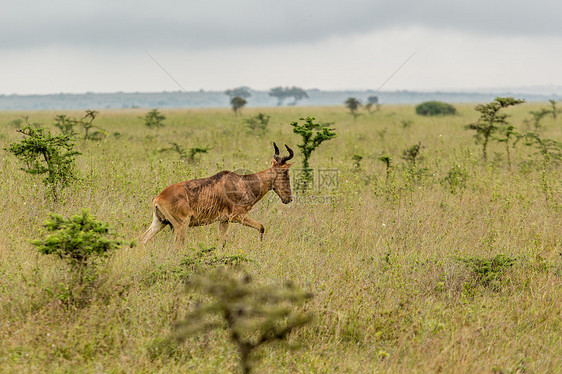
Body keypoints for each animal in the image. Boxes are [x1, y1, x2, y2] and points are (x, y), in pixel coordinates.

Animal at [139, 142, 294, 245]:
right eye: (285, 172)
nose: (289, 198)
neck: (241, 182)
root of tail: (158, 198)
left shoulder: (224, 220)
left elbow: (222, 241)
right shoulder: (238, 216)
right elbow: (261, 227)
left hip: (159, 222)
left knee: (142, 240)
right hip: (181, 225)